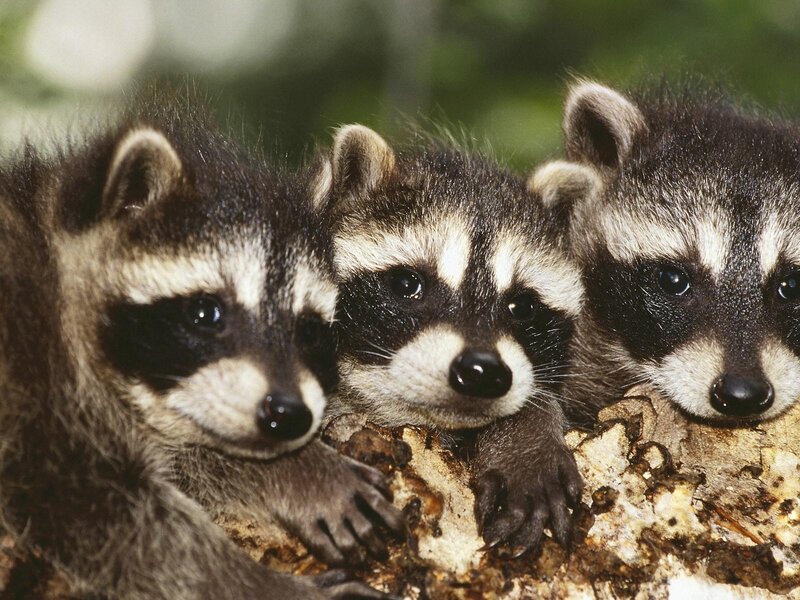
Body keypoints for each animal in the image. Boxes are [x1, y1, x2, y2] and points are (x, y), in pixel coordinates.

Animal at [0, 105, 398, 598]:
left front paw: (294, 469)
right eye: (207, 313)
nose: (289, 415)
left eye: (308, 330)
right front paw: (262, 584)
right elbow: (112, 521)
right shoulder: (35, 376)